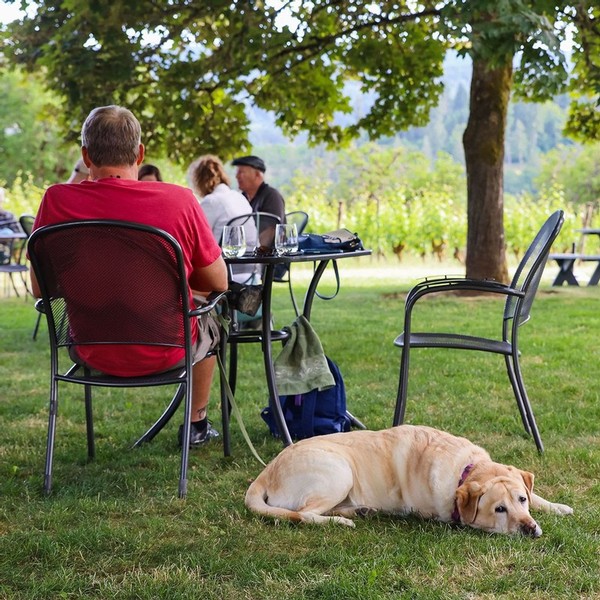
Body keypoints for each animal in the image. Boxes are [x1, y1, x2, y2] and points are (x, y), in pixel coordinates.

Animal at [246, 424, 576, 536]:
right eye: (499, 510)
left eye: (520, 500)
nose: (530, 529)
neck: (465, 469)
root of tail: (267, 470)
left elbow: (539, 496)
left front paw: (559, 507)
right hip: (338, 471)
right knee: (305, 514)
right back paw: (341, 521)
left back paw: (359, 510)